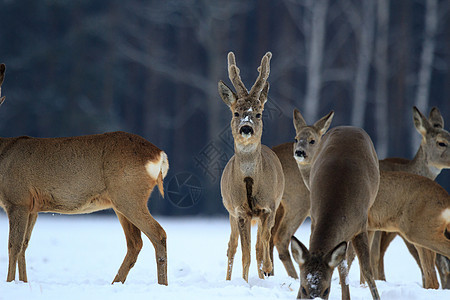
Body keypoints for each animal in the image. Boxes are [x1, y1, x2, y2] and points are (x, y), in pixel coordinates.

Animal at [0, 63, 170, 286]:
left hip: (128, 194)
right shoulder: (33, 207)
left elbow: (13, 246)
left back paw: (161, 285)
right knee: (135, 243)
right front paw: (24, 283)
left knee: (158, 234)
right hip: (120, 202)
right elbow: (24, 247)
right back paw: (115, 283)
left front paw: (10, 283)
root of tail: (159, 153)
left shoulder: (17, 199)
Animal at [218, 52, 284, 282]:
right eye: (236, 113)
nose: (246, 128)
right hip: (229, 211)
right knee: (231, 247)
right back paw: (229, 280)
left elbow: (261, 243)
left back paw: (265, 272)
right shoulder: (240, 211)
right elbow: (244, 253)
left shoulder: (269, 207)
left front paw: (268, 267)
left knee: (259, 244)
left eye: (258, 114)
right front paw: (245, 282)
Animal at [288, 109, 380, 300]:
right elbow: (341, 266)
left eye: (326, 290)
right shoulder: (314, 219)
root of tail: (349, 126)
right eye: (303, 288)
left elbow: (366, 270)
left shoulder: (361, 226)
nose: (300, 151)